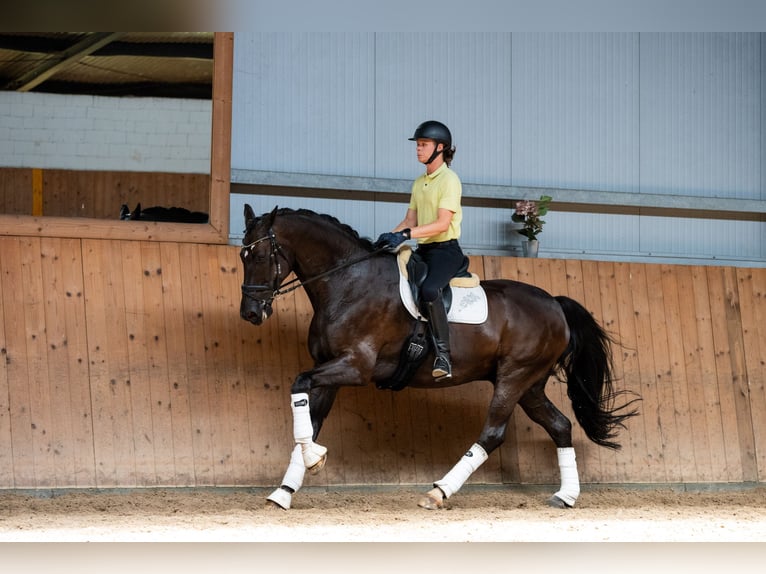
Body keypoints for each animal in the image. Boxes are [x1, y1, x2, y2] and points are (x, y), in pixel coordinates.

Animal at [239, 205, 640, 510]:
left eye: (259, 255)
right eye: (242, 255)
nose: (250, 313)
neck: (348, 282)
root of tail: (554, 303)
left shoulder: (354, 367)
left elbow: (299, 382)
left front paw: (311, 461)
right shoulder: (331, 371)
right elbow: (309, 419)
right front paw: (287, 488)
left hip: (515, 377)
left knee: (493, 433)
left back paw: (439, 492)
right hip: (530, 385)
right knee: (560, 426)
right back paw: (566, 496)